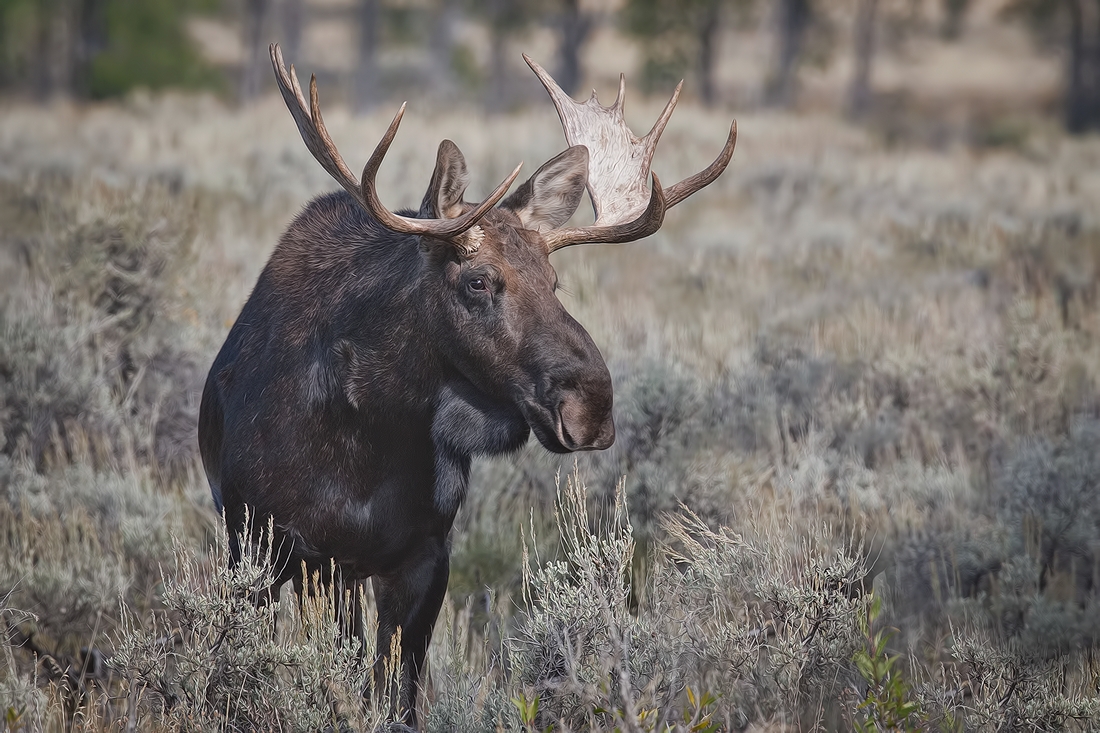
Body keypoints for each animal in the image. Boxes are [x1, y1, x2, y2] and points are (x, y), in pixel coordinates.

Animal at [200, 42, 739, 721]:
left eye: (554, 282)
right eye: (477, 281)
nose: (591, 404)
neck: (365, 437)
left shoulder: (425, 556)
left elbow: (396, 692)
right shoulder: (261, 546)